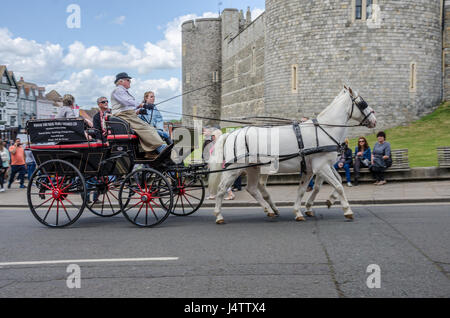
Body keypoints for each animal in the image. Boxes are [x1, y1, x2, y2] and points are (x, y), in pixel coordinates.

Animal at [208, 87, 376, 224]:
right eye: (362, 103)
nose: (374, 120)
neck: (324, 130)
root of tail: (232, 133)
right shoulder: (321, 166)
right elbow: (338, 186)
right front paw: (347, 210)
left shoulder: (315, 168)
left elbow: (309, 188)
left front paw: (305, 209)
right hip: (234, 169)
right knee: (222, 189)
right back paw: (218, 215)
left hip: (253, 168)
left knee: (252, 189)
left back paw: (269, 210)